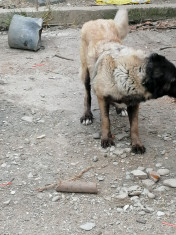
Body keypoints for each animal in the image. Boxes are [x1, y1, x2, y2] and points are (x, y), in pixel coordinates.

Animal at [80, 9, 176, 153]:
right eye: (174, 80)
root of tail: (98, 20)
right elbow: (105, 120)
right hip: (86, 72)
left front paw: (136, 144)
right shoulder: (102, 97)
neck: (129, 72)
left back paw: (120, 107)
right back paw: (87, 115)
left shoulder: (134, 102)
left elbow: (134, 126)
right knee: (87, 94)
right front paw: (106, 138)